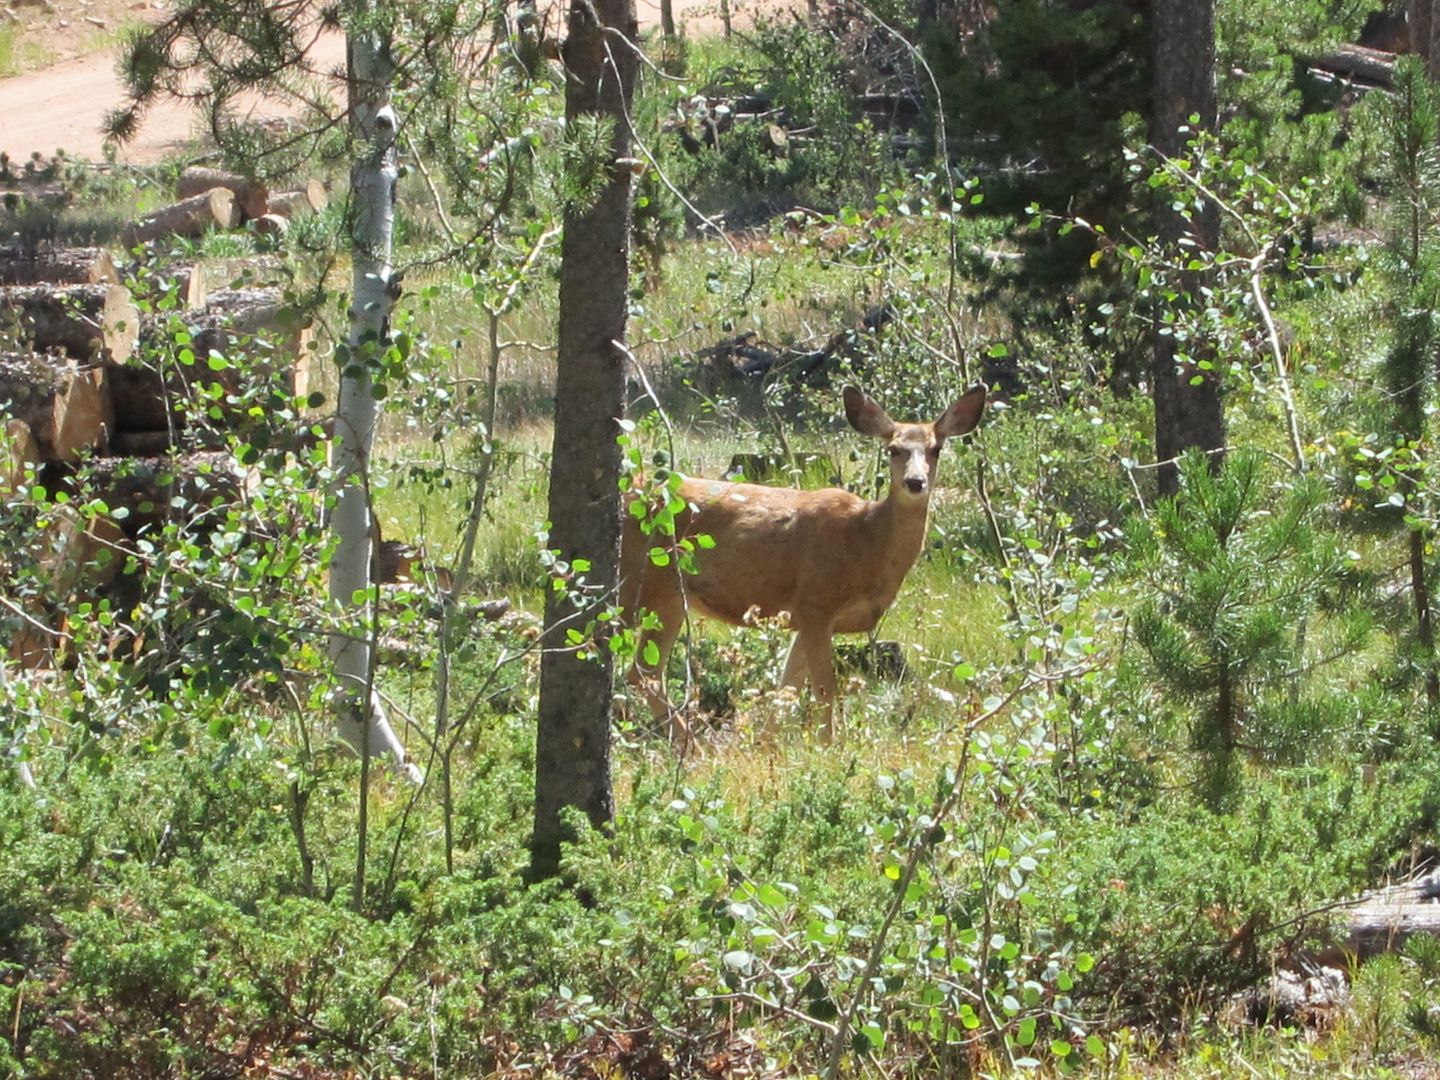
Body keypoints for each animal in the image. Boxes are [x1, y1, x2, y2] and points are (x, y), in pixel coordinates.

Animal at [619, 383, 990, 743]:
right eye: (893, 449)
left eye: (936, 449)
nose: (915, 482)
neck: (867, 542)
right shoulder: (815, 602)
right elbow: (824, 688)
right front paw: (828, 747)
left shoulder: (805, 616)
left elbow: (786, 689)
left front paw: (765, 747)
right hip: (636, 583)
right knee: (629, 664)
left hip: (668, 597)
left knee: (643, 672)